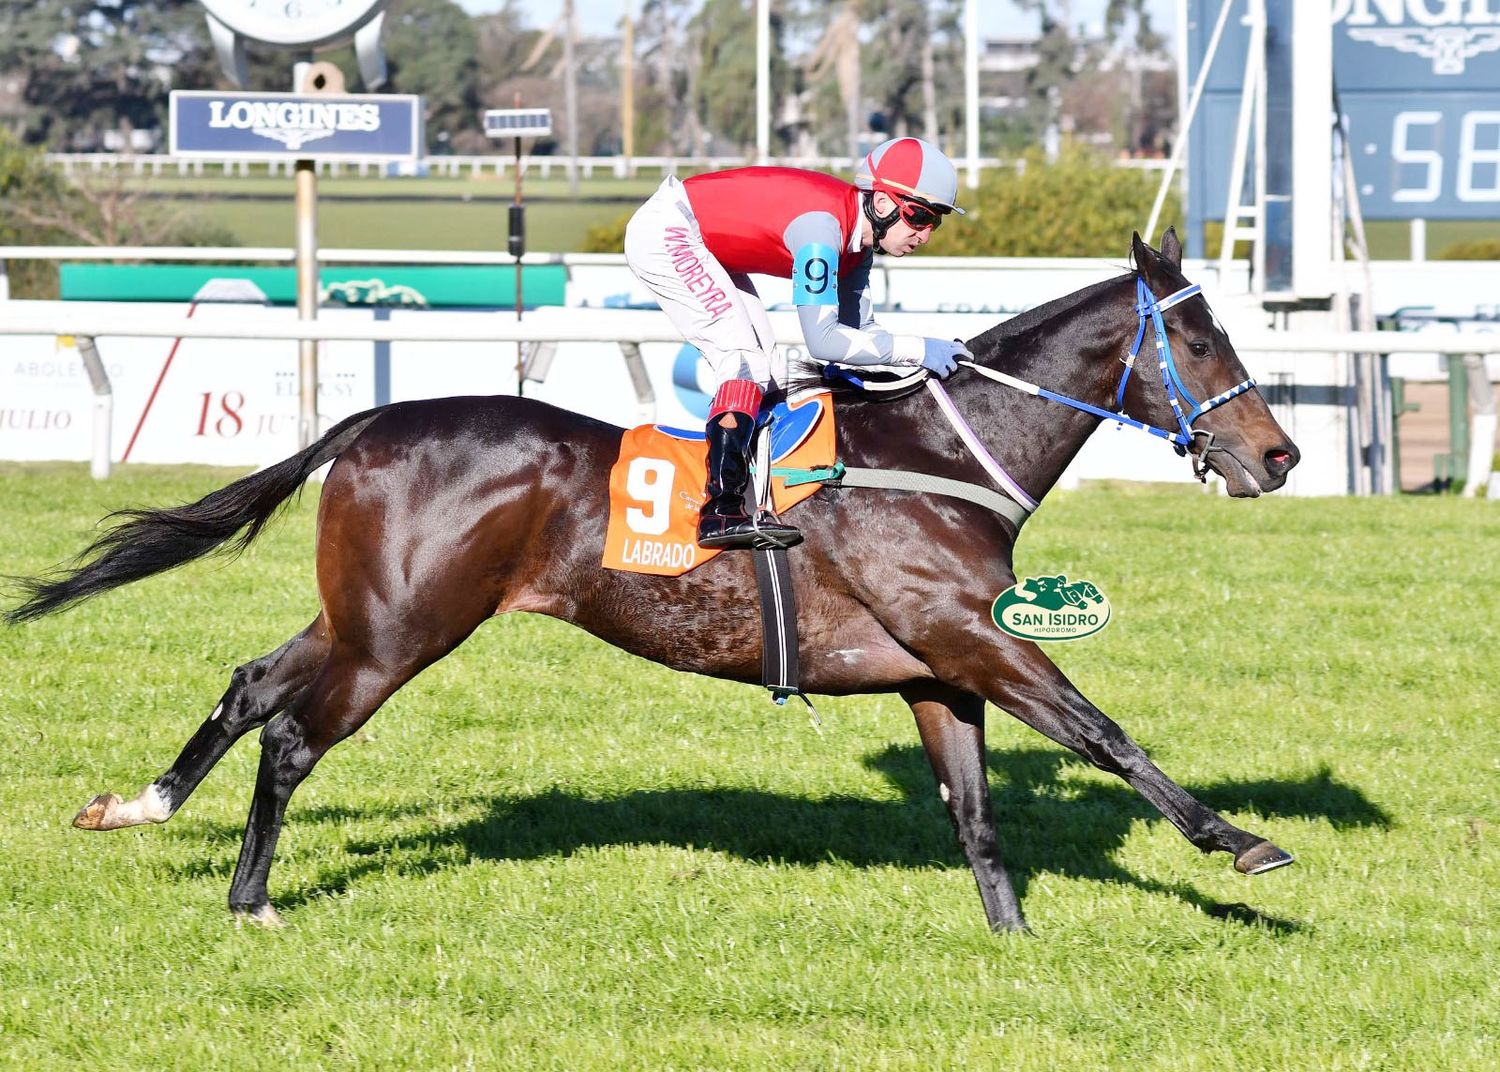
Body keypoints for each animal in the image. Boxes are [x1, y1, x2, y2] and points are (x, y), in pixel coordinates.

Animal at [5, 232, 1302, 929]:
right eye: (1200, 343)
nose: (1282, 455)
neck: (938, 454)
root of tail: (374, 417)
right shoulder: (974, 637)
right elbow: (1105, 733)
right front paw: (1241, 843)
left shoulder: (939, 668)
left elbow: (977, 811)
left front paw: (1013, 935)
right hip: (402, 631)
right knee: (290, 735)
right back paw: (252, 896)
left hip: (368, 610)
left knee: (250, 682)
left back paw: (137, 806)